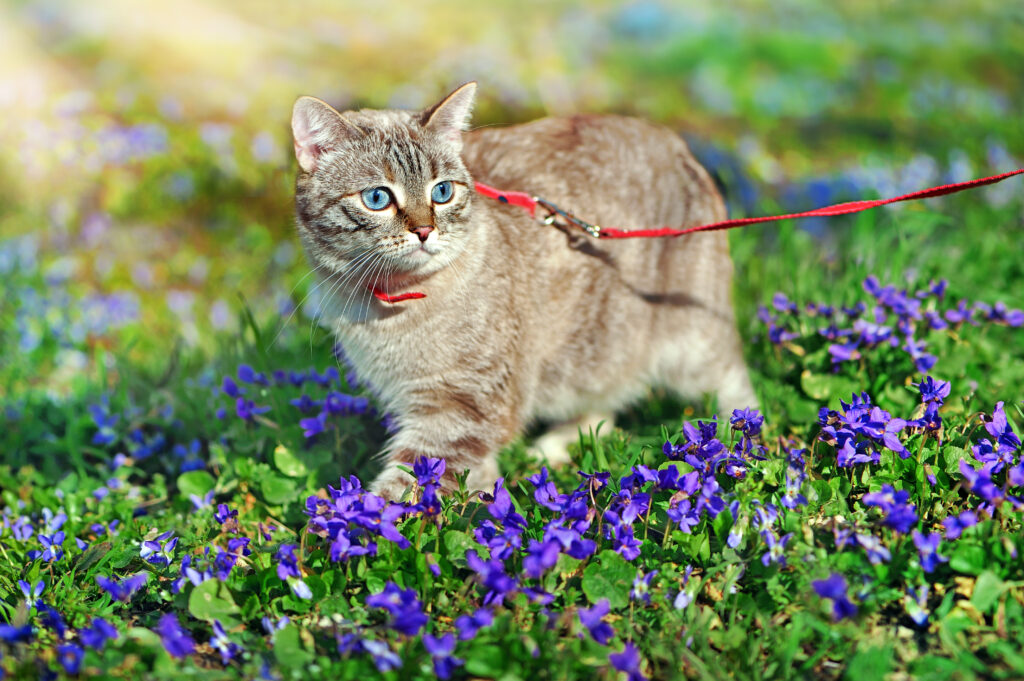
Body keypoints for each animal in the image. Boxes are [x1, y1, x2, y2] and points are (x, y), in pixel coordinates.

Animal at [292, 83, 757, 499]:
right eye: (377, 198)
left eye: (441, 192)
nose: (425, 230)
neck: (387, 307)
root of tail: (678, 142)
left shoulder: (462, 411)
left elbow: (397, 498)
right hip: (594, 352)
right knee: (606, 399)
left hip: (691, 350)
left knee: (738, 394)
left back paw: (742, 449)